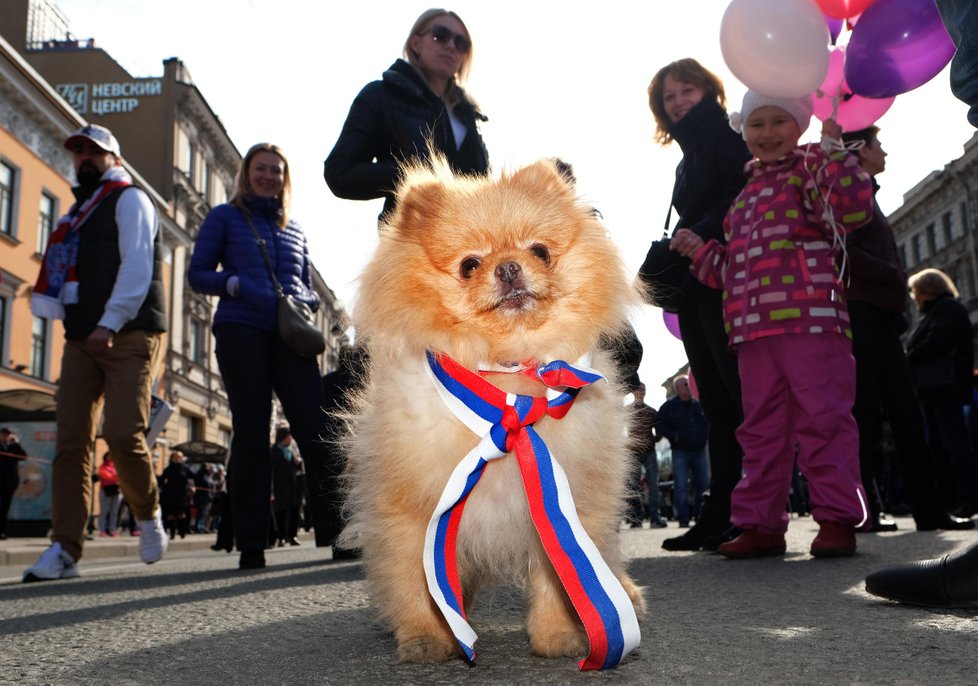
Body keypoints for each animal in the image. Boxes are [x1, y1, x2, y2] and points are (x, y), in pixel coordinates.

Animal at [340, 159, 644, 668]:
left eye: (539, 251)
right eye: (469, 265)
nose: (508, 267)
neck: (506, 380)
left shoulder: (558, 508)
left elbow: (558, 580)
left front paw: (557, 637)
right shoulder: (413, 512)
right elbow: (416, 582)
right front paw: (427, 638)